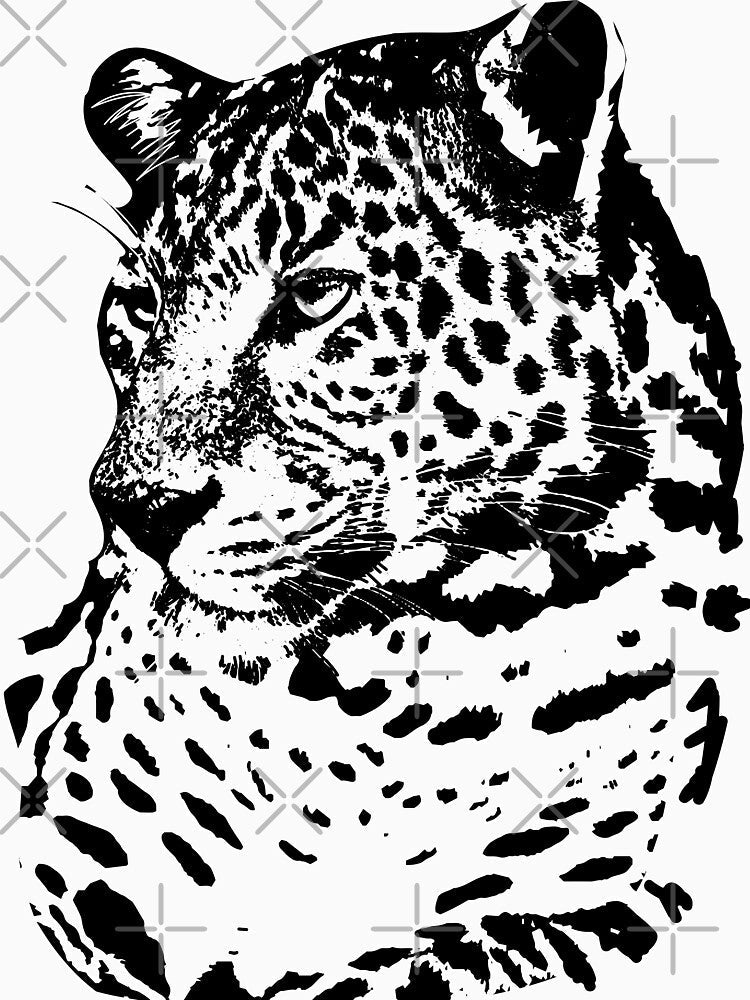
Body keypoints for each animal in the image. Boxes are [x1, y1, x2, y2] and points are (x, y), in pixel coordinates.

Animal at [4, 2, 742, 998]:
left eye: (316, 295)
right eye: (140, 309)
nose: (134, 507)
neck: (374, 707)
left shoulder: (603, 899)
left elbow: (409, 969)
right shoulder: (65, 858)